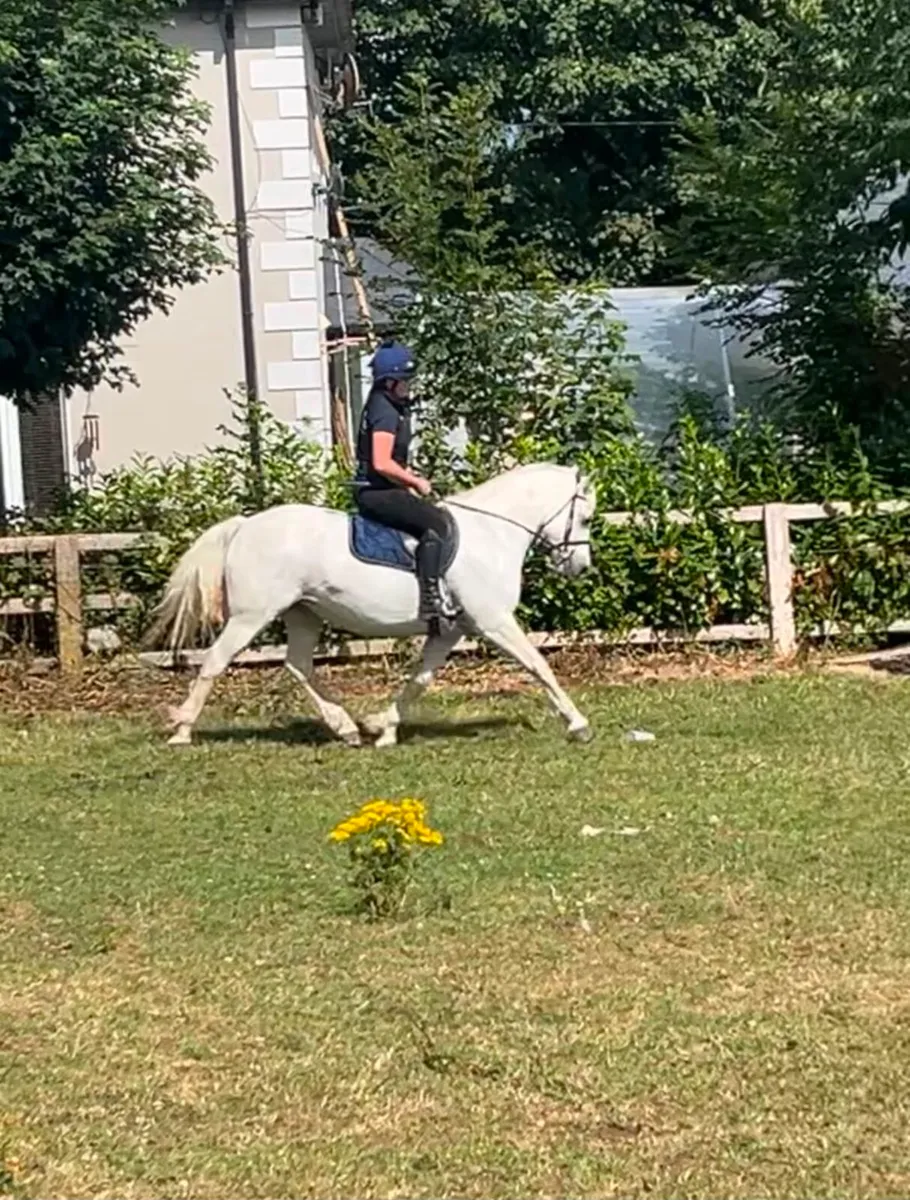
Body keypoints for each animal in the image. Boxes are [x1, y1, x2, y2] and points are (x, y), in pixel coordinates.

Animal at [151, 462, 597, 749]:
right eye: (586, 518)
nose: (581, 566)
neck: (492, 532)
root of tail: (245, 525)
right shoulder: (495, 621)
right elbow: (538, 665)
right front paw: (578, 723)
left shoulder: (451, 630)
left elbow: (419, 680)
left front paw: (383, 728)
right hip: (251, 616)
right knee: (216, 661)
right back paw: (182, 731)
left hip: (303, 613)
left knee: (298, 665)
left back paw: (347, 728)